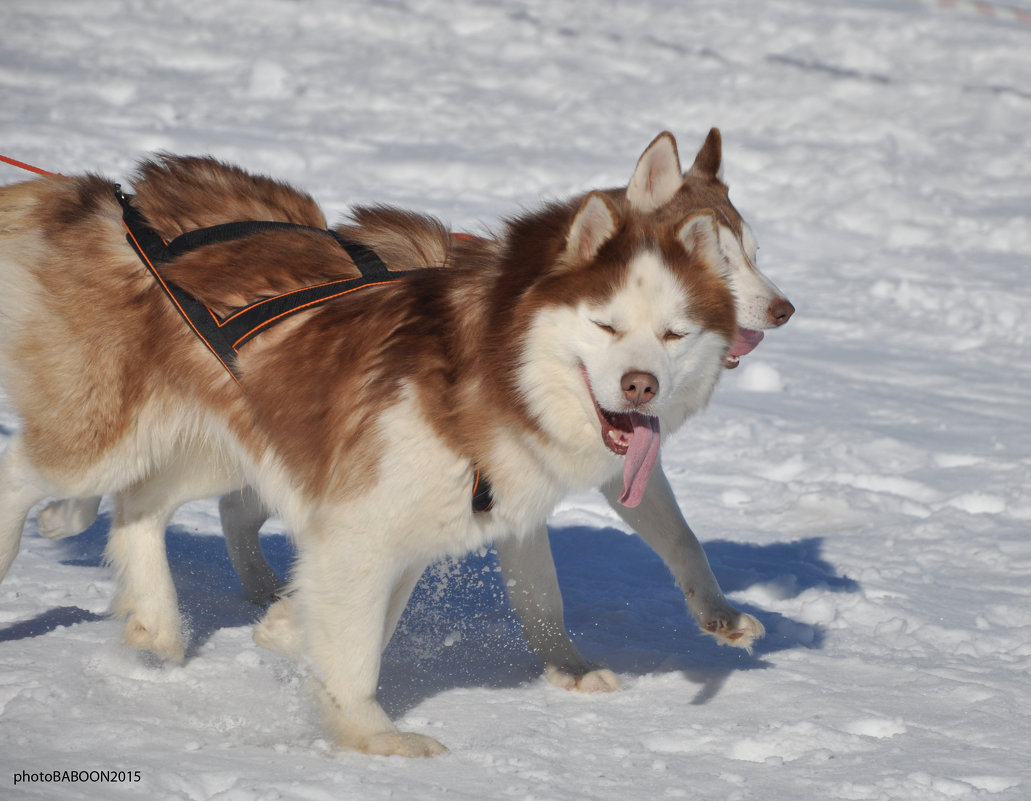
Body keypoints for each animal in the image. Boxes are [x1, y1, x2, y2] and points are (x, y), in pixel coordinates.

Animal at [0, 129, 771, 750]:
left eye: (674, 333)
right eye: (607, 324)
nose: (641, 386)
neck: (488, 369)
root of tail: (109, 201)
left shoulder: (431, 521)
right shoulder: (362, 519)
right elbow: (356, 643)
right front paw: (371, 738)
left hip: (216, 441)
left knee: (141, 505)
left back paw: (157, 623)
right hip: (109, 435)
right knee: (32, 470)